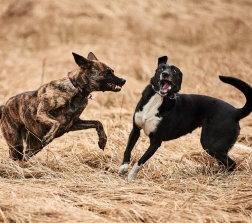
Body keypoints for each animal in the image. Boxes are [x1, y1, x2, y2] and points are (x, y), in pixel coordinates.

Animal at [119, 55, 252, 181]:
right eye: (161, 68)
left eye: (174, 71)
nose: (165, 74)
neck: (159, 98)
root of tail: (235, 112)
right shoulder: (135, 130)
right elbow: (127, 149)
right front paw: (123, 168)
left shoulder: (155, 142)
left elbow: (140, 161)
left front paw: (130, 176)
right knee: (225, 163)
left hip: (211, 143)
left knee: (231, 163)